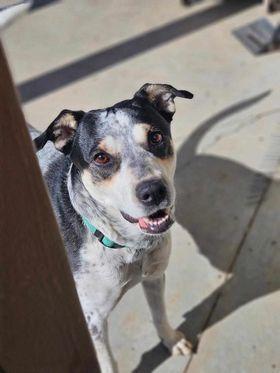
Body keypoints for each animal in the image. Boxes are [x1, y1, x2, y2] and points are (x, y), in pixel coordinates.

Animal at [32, 83, 194, 370]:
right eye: (100, 157)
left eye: (156, 137)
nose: (154, 191)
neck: (127, 245)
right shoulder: (93, 320)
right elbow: (108, 362)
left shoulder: (154, 277)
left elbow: (159, 315)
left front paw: (171, 341)